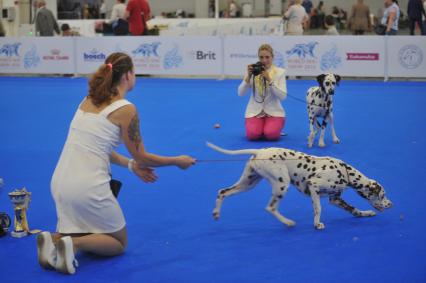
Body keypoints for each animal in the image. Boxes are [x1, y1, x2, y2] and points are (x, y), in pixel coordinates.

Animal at [207, 144, 392, 231]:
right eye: (383, 195)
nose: (391, 204)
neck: (345, 172)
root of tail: (259, 151)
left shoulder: (335, 199)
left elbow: (354, 210)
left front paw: (366, 213)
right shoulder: (314, 187)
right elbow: (318, 209)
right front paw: (317, 224)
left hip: (248, 183)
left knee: (223, 192)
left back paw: (216, 213)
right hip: (282, 184)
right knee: (270, 207)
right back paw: (288, 222)